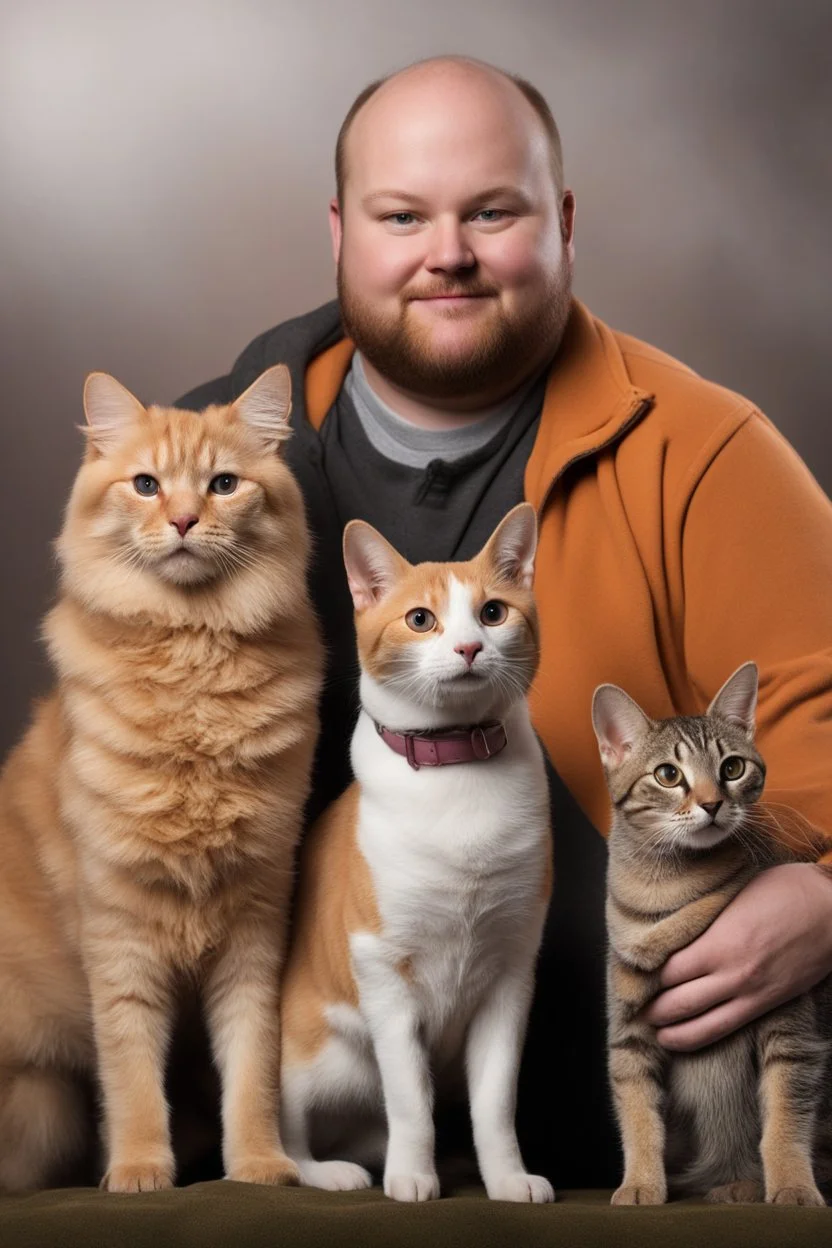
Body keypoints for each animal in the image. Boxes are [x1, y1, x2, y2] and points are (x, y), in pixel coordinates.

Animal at [0, 364, 321, 1193]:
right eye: (145, 484)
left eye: (224, 484)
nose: (180, 520)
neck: (192, 658)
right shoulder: (120, 936)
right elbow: (133, 1077)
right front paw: (141, 1167)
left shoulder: (253, 928)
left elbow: (252, 1071)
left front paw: (259, 1164)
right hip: (41, 1109)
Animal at [276, 501, 556, 1203]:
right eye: (420, 619)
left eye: (493, 612)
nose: (468, 647)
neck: (458, 769)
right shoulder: (383, 973)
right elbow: (410, 1099)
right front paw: (411, 1174)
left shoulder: (510, 978)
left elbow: (494, 1104)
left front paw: (505, 1178)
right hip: (317, 1060)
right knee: (287, 1138)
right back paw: (333, 1172)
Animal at [596, 668, 828, 1203]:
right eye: (668, 775)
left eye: (733, 767)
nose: (712, 803)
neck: (664, 890)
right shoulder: (628, 1035)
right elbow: (638, 1119)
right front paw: (640, 1183)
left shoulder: (792, 1028)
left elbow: (786, 1118)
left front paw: (792, 1185)